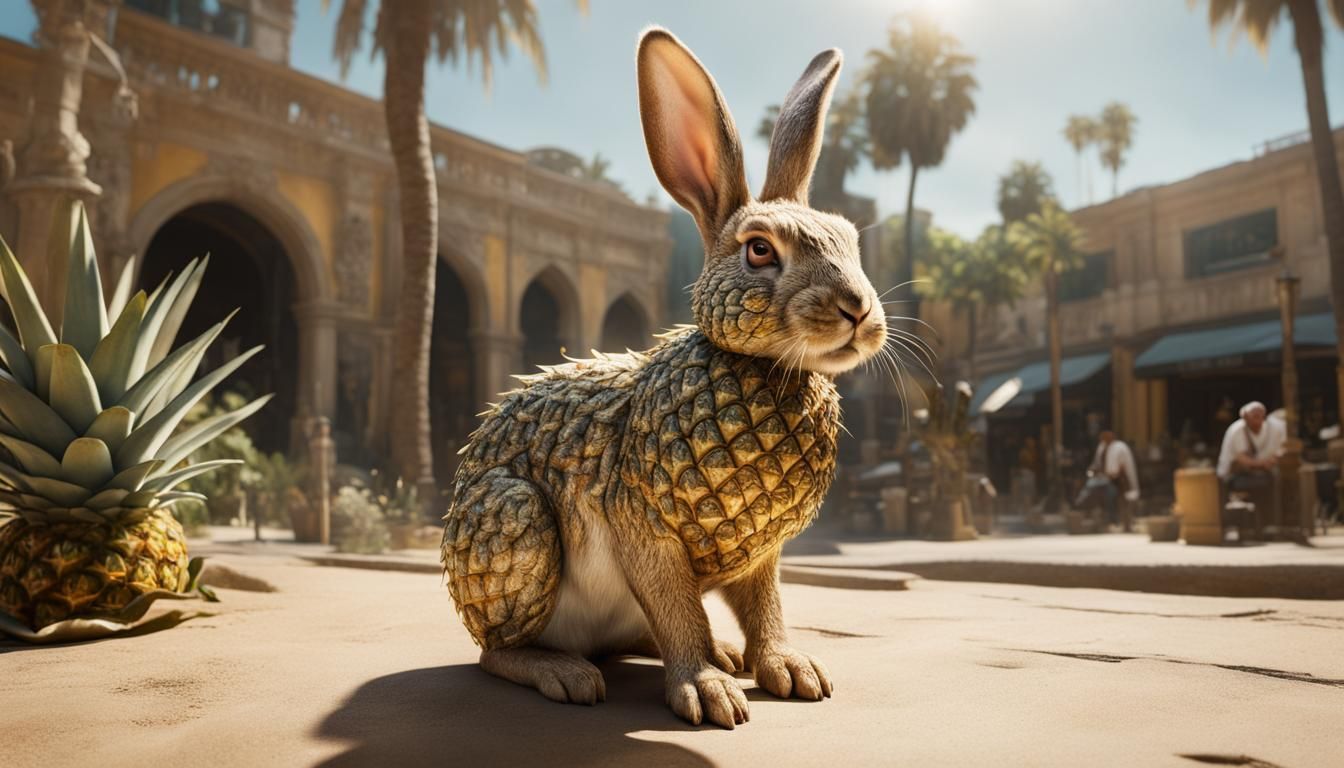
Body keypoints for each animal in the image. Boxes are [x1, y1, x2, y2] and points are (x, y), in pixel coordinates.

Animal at [441, 27, 888, 729]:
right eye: (759, 249)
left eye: (850, 241)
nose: (858, 309)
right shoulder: (643, 527)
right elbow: (679, 611)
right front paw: (708, 692)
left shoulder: (759, 551)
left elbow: (766, 607)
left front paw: (791, 669)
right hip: (514, 519)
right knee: (495, 650)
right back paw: (565, 672)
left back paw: (724, 653)